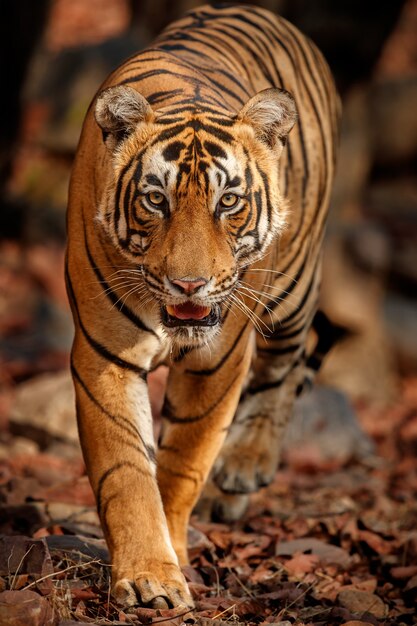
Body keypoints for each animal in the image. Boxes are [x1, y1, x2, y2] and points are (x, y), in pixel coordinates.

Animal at [65, 2, 338, 608]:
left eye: (228, 201)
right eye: (155, 200)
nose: (188, 285)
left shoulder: (219, 361)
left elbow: (183, 464)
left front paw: (174, 552)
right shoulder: (105, 357)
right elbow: (126, 470)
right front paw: (149, 576)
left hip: (292, 289)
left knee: (287, 364)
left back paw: (244, 466)